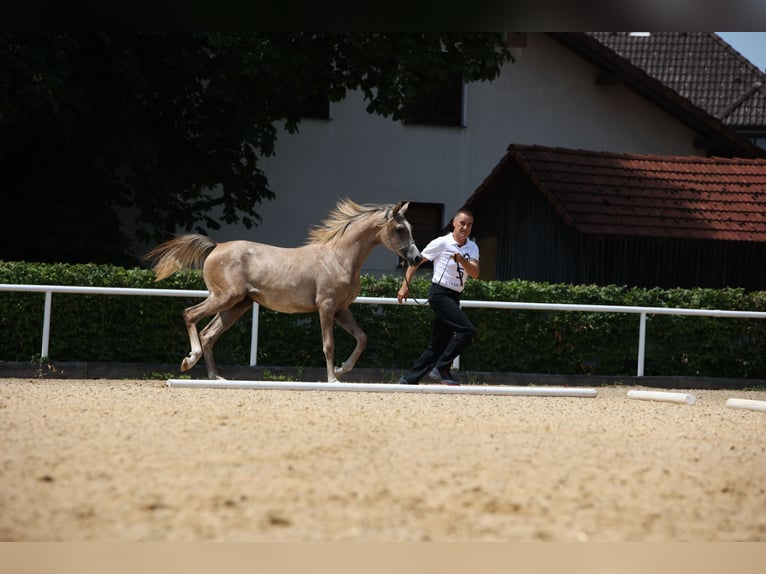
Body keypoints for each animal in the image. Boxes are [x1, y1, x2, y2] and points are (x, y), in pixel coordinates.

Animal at [144, 199, 422, 382]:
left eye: (410, 228)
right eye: (400, 229)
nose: (417, 258)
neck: (340, 257)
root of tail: (217, 246)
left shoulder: (342, 309)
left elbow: (362, 338)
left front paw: (342, 370)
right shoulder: (326, 307)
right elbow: (328, 345)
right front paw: (333, 379)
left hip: (237, 305)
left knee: (209, 334)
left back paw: (215, 377)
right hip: (225, 298)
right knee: (190, 315)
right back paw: (189, 360)